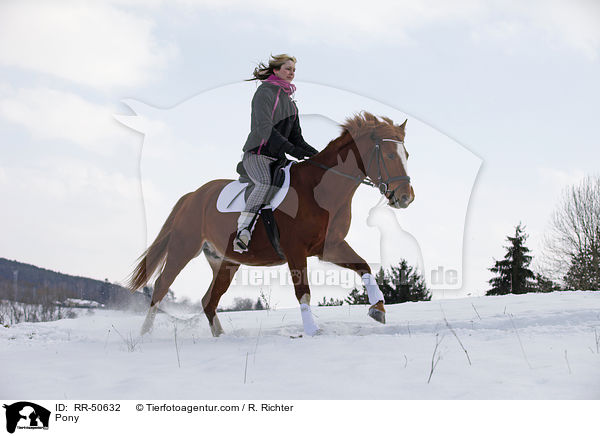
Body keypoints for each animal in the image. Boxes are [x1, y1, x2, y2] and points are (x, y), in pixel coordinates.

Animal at [129, 110, 414, 336]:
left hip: (225, 262)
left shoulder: (329, 246)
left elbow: (363, 265)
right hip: (183, 248)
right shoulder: (295, 250)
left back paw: (220, 337)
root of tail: (193, 196)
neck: (320, 189)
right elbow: (304, 291)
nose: (406, 197)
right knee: (161, 288)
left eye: (407, 154)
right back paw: (144, 335)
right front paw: (312, 330)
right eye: (390, 155)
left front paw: (378, 308)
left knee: (208, 301)